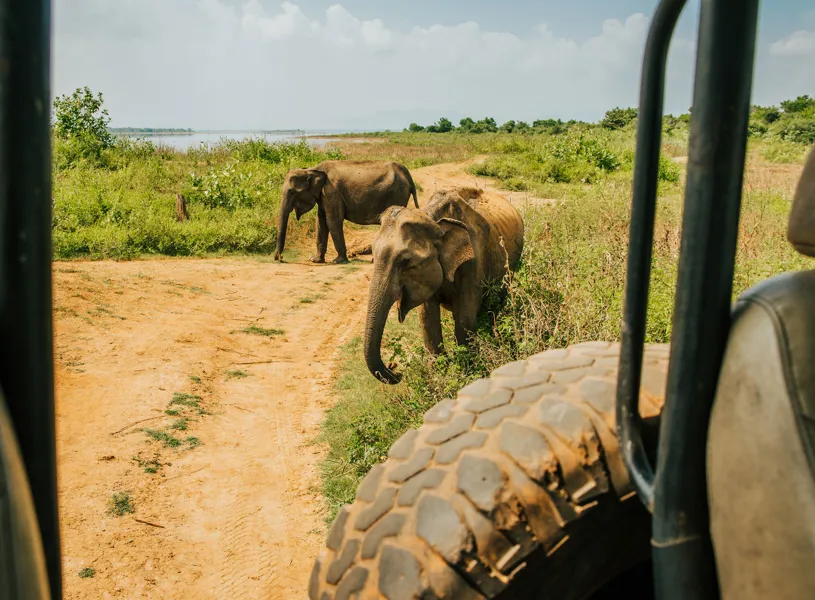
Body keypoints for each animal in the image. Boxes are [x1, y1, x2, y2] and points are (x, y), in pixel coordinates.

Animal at [273, 160, 418, 264]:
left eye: (291, 192)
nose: (280, 258)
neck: (310, 169)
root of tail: (406, 173)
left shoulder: (331, 191)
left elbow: (332, 221)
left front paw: (338, 261)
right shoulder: (324, 195)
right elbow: (321, 222)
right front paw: (315, 260)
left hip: (397, 194)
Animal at [363, 186, 524, 384]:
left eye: (405, 260)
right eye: (372, 253)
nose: (396, 370)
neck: (434, 219)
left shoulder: (475, 261)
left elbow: (466, 318)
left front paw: (467, 373)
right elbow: (427, 318)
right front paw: (439, 374)